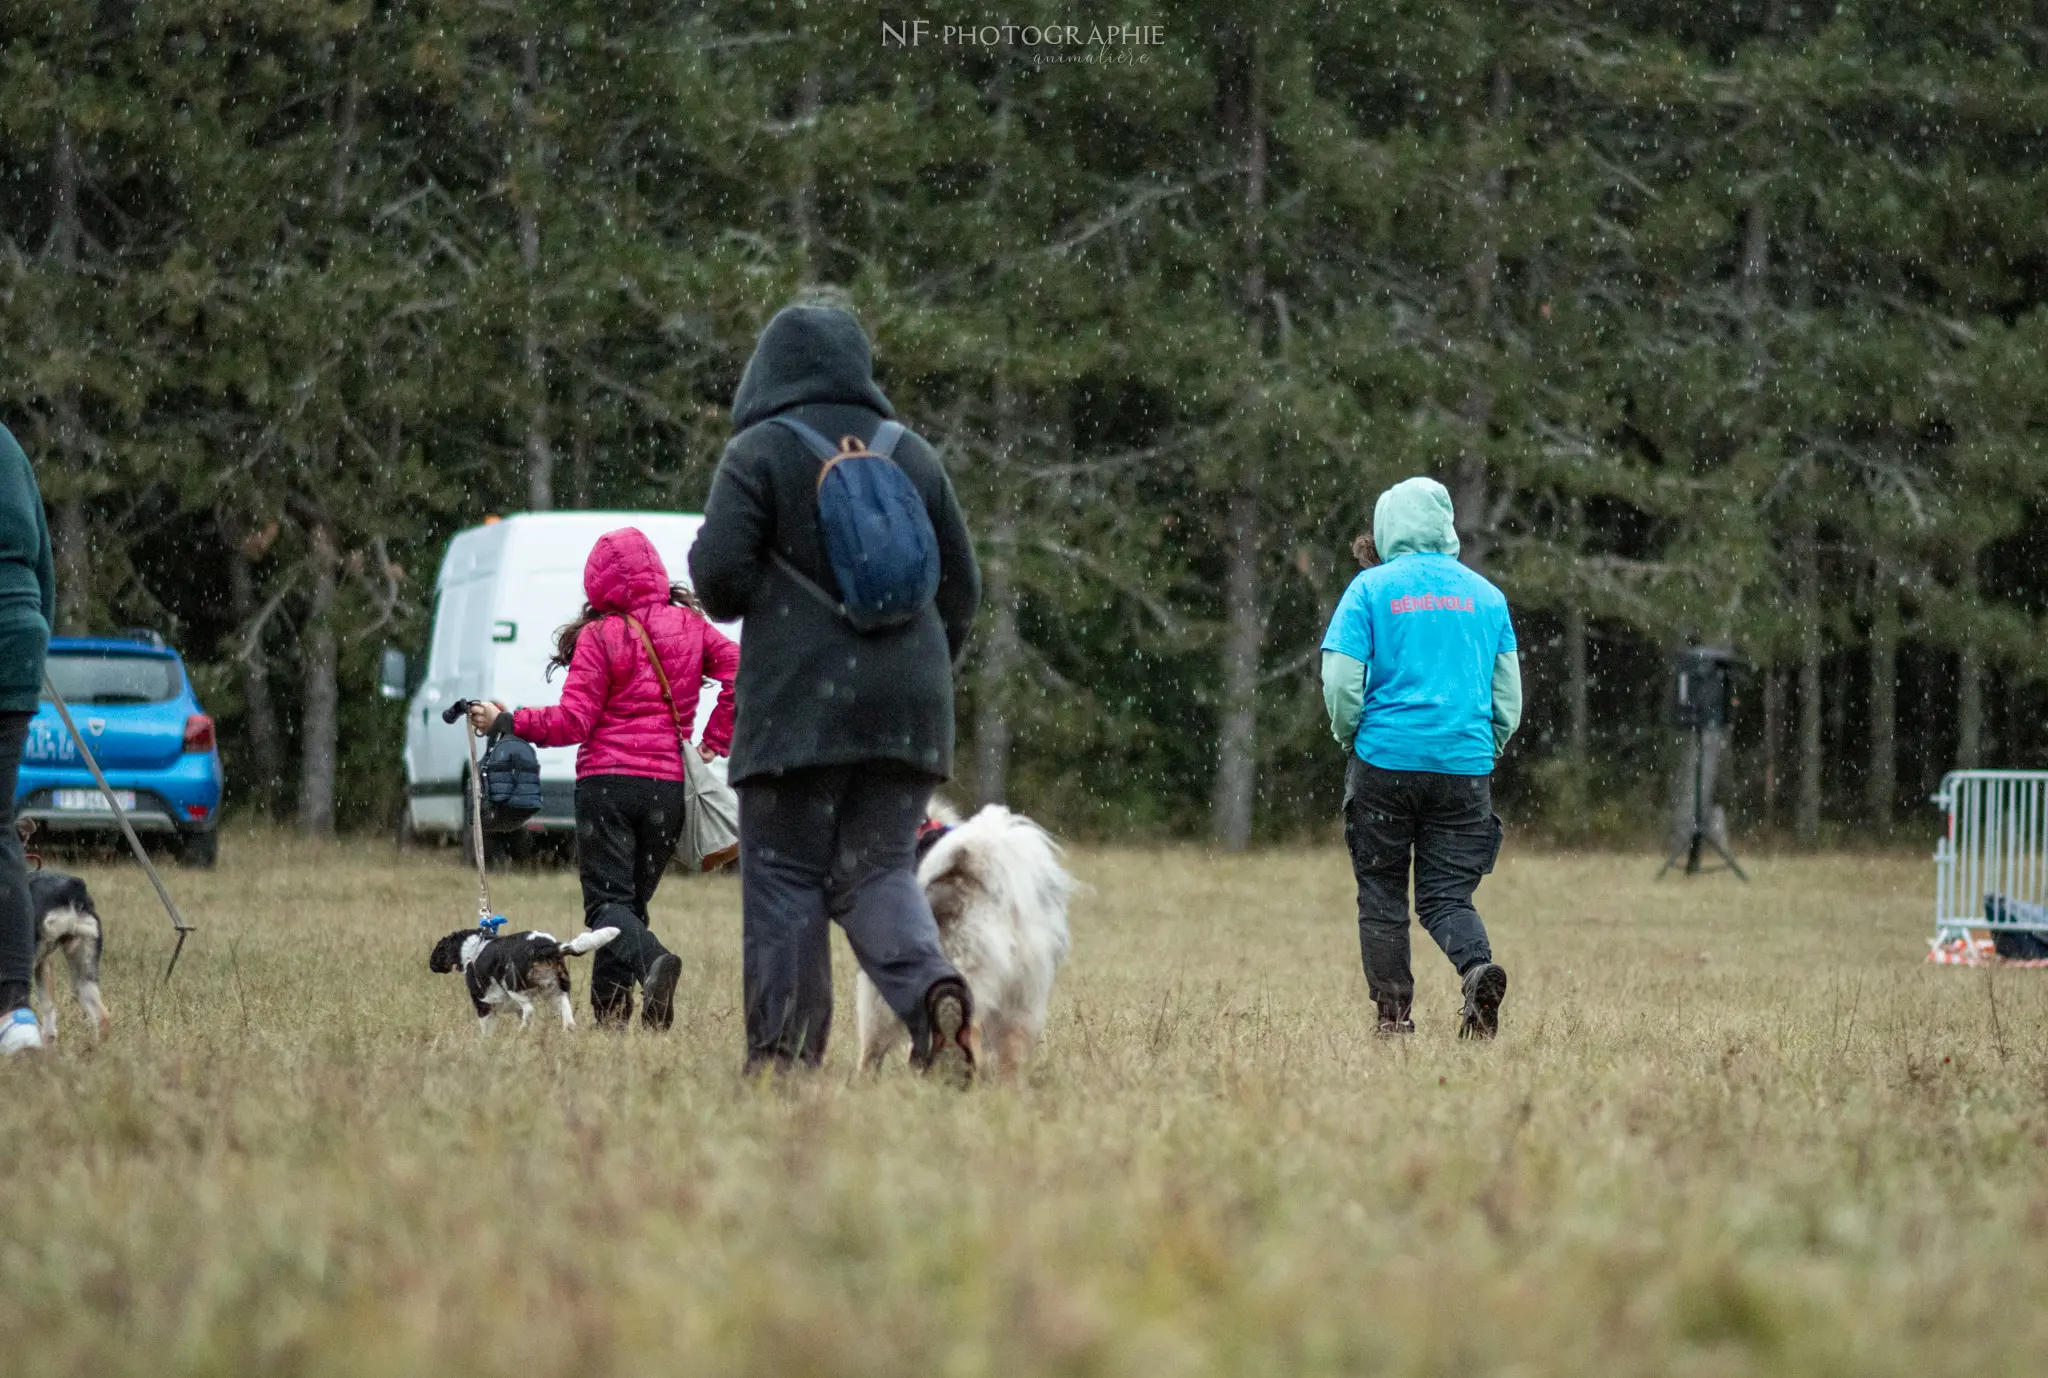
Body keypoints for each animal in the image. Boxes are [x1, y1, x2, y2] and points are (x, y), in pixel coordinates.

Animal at [428, 925, 618, 1031]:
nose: (432, 965)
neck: (473, 946)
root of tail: (545, 947)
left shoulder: (483, 1006)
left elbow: (486, 1032)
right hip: (557, 991)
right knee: (569, 1020)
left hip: (513, 987)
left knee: (530, 1011)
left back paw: (521, 1032)